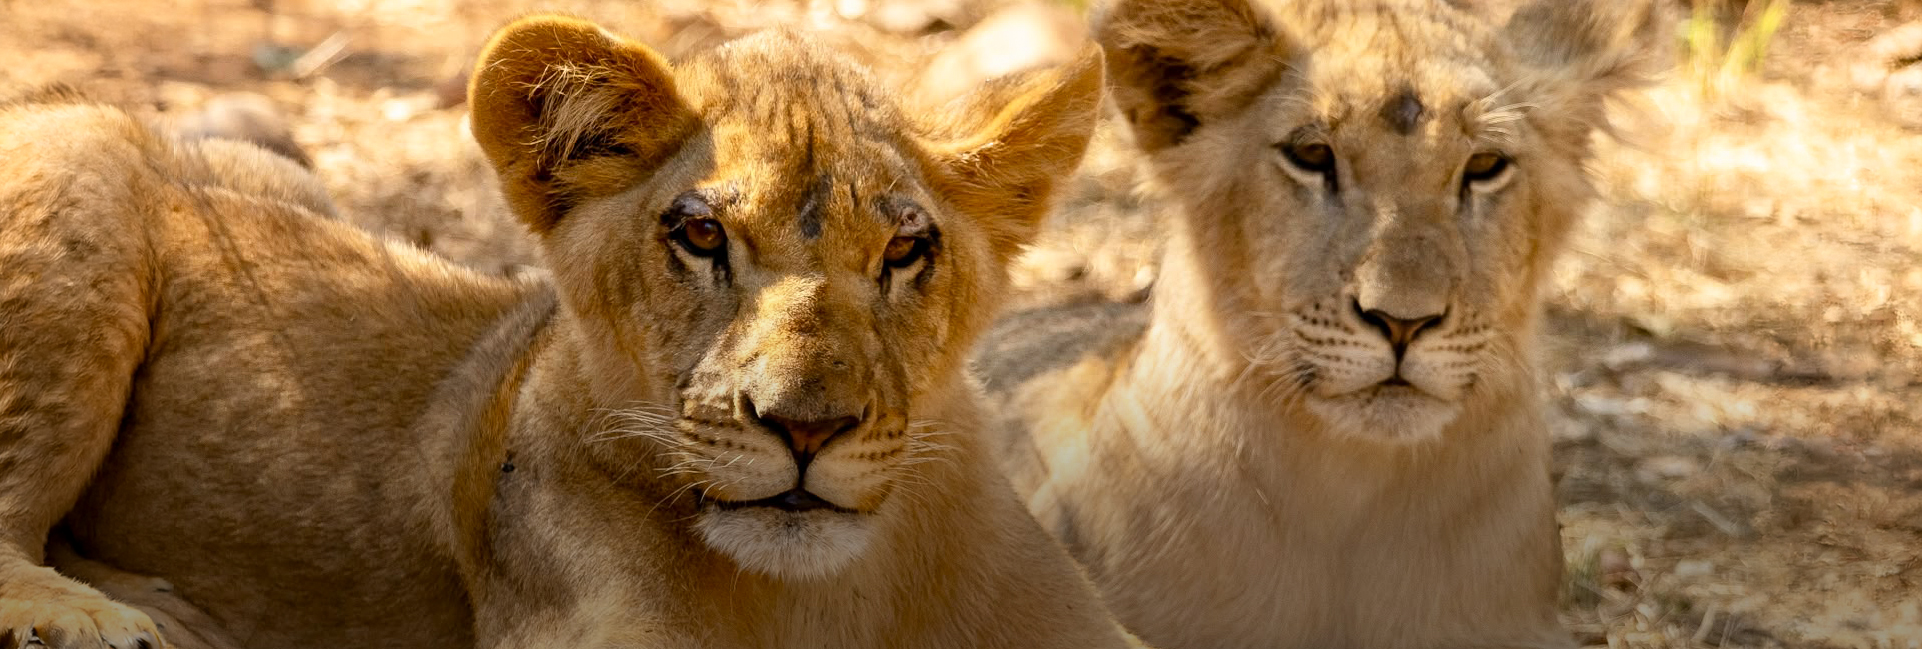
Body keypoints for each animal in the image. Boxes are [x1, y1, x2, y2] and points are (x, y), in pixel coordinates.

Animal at [0, 15, 1140, 649]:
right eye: (699, 234)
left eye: (905, 249)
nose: (805, 428)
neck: (822, 597)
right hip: (86, 164)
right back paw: (107, 618)